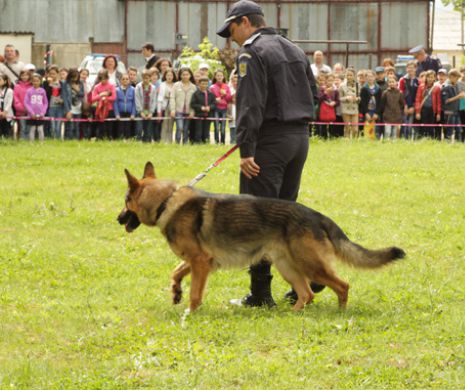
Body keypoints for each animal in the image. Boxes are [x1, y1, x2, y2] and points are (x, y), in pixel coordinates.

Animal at [118, 161, 404, 310]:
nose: (118, 219)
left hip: (309, 265)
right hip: (288, 267)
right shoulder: (199, 260)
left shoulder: (200, 262)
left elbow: (195, 293)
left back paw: (340, 312)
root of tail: (316, 215)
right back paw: (293, 314)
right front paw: (176, 292)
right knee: (307, 294)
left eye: (126, 201)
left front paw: (189, 312)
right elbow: (176, 271)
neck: (166, 202)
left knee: (342, 285)